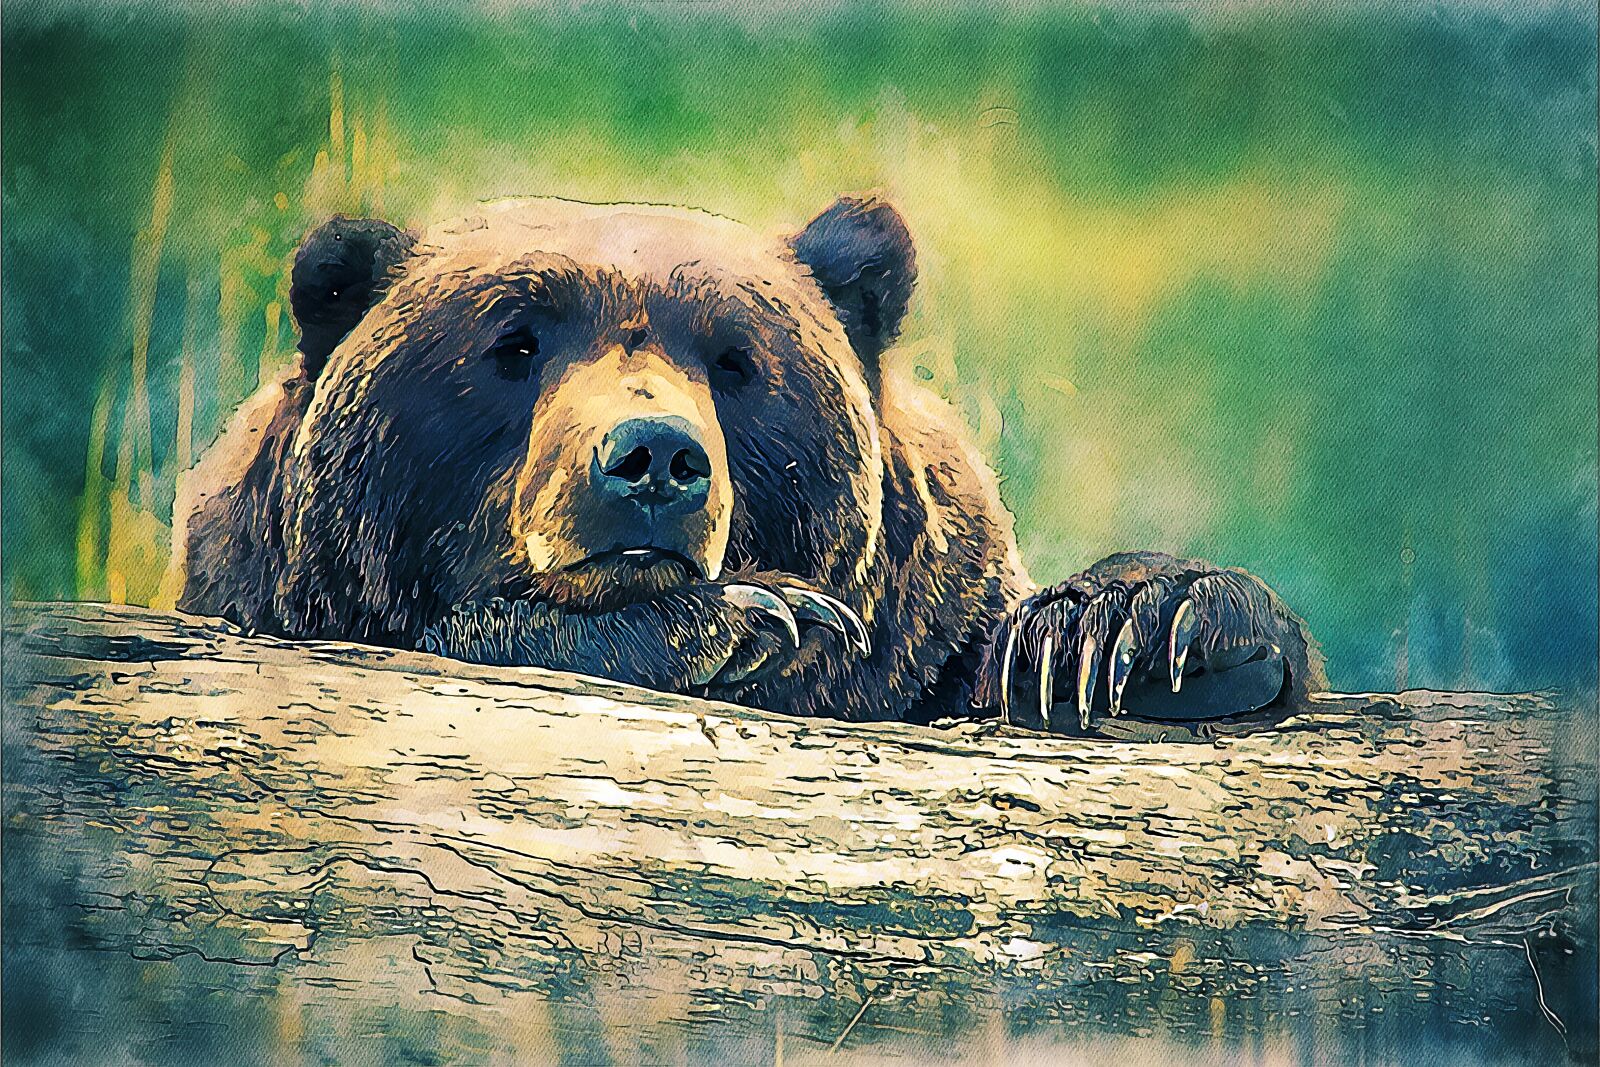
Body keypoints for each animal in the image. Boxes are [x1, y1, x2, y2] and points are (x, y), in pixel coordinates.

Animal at [169, 195, 1324, 734]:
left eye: (735, 360)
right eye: (513, 343)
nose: (653, 459)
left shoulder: (928, 629)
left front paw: (1137, 631)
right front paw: (748, 618)